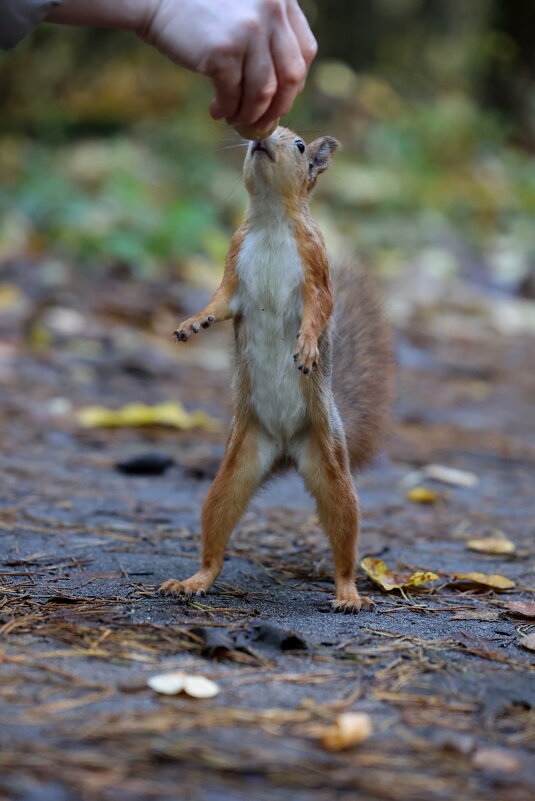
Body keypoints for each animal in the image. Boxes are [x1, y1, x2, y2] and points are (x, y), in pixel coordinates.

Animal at [159, 125, 394, 612]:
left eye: (300, 145)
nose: (260, 138)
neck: (269, 221)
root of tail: (286, 447)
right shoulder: (233, 265)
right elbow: (219, 302)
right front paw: (193, 322)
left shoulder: (317, 268)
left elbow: (319, 311)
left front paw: (306, 346)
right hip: (237, 464)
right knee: (217, 523)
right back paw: (194, 581)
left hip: (330, 462)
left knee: (344, 533)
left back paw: (348, 592)